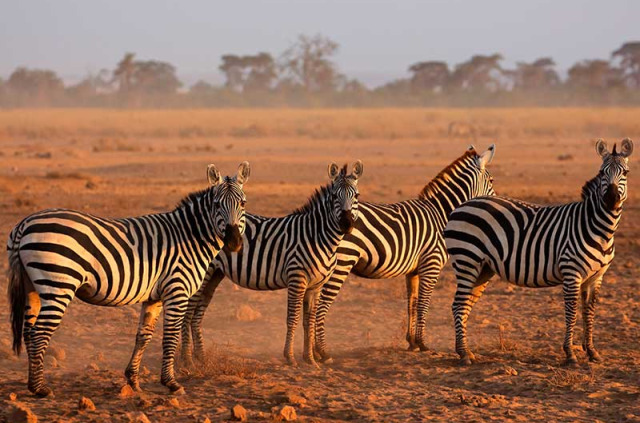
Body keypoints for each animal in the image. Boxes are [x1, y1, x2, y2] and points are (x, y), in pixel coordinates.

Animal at [8, 161, 252, 396]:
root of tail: (24, 223)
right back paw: (40, 388)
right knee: (39, 333)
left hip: (32, 286)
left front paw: (133, 380)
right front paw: (171, 383)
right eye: (217, 205)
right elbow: (170, 337)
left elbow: (143, 336)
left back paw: (32, 383)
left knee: (29, 332)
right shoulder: (177, 290)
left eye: (243, 204)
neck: (189, 237)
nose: (234, 242)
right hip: (58, 285)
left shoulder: (155, 296)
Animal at [180, 162, 362, 368]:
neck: (317, 237)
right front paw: (290, 357)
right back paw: (187, 359)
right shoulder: (296, 279)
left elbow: (309, 321)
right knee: (188, 314)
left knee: (197, 314)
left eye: (356, 196)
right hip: (204, 274)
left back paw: (201, 357)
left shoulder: (315, 286)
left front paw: (310, 359)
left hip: (214, 275)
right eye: (334, 197)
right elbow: (293, 318)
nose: (346, 225)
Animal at [312, 146, 498, 362]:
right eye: (491, 180)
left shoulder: (413, 270)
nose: (495, 204)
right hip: (343, 261)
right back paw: (321, 351)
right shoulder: (431, 263)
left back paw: (312, 350)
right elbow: (424, 303)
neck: (441, 213)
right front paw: (423, 343)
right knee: (321, 304)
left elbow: (412, 302)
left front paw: (412, 342)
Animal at [442, 141, 632, 366]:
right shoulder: (571, 273)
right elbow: (572, 313)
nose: (611, 199)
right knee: (458, 305)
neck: (598, 228)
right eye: (602, 172)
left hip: (483, 269)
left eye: (626, 173)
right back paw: (464, 354)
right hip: (467, 260)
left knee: (465, 306)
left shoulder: (596, 277)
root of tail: (462, 205)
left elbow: (589, 312)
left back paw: (466, 351)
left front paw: (592, 352)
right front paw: (570, 354)